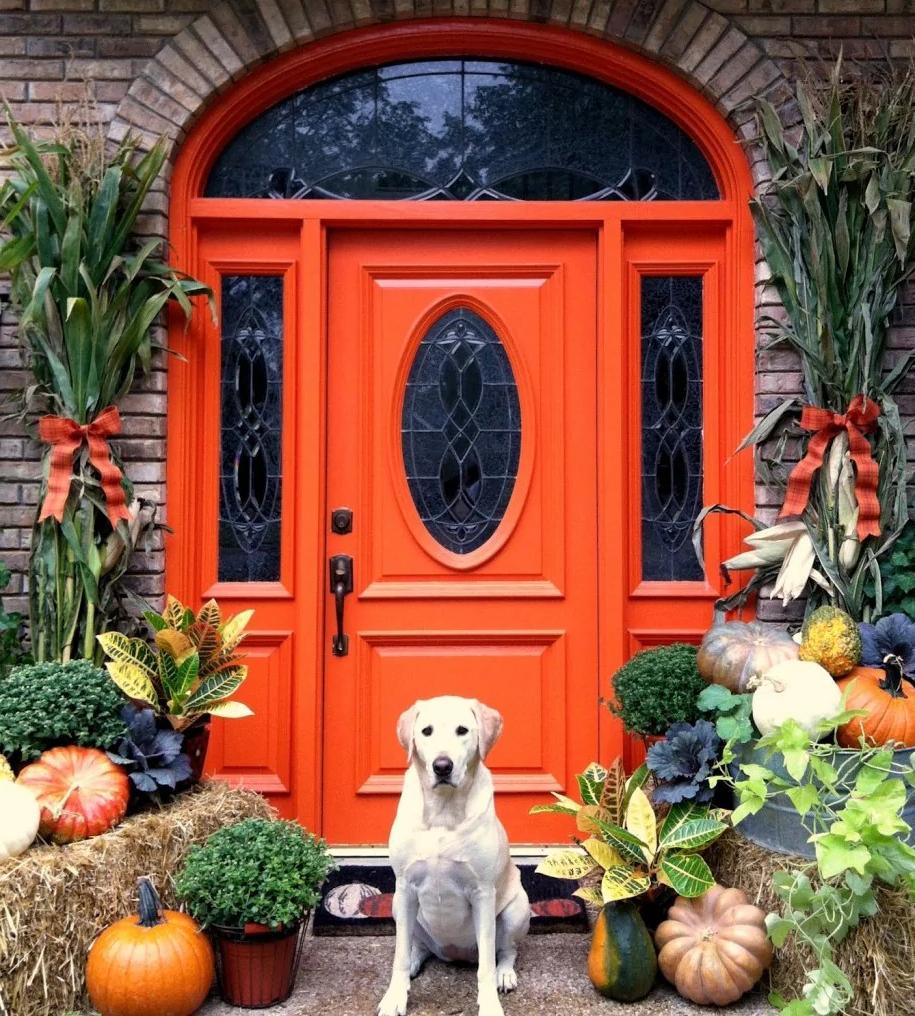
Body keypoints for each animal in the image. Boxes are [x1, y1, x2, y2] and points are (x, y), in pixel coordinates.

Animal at [375, 699, 528, 1016]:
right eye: (426, 731)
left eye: (462, 730)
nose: (442, 766)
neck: (443, 810)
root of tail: (455, 953)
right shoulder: (404, 887)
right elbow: (399, 956)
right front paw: (395, 997)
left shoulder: (482, 892)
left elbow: (486, 965)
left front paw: (489, 1006)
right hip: (398, 907)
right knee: (417, 946)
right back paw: (415, 962)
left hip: (517, 908)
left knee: (506, 951)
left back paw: (504, 974)